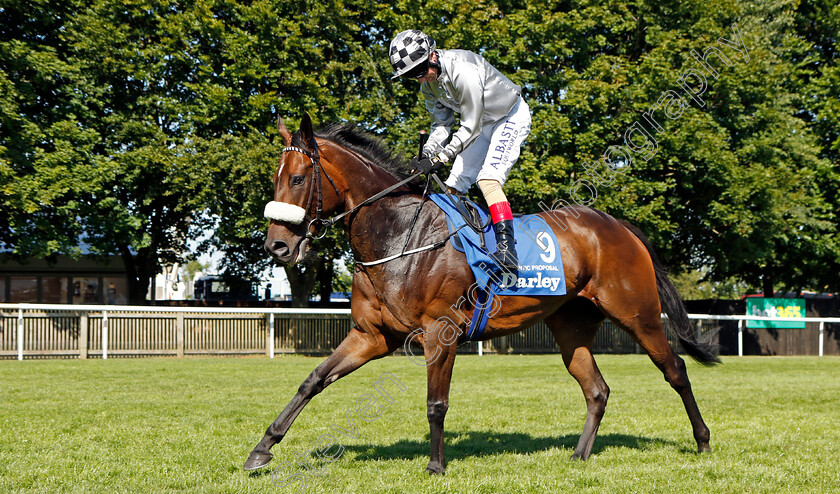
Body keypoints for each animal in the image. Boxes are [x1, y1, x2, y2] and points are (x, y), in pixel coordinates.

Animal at [244, 113, 720, 474]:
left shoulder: (440, 333)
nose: (277, 246)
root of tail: (618, 225)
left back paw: (702, 441)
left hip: (638, 314)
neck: (399, 236)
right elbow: (313, 380)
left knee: (675, 369)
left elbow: (436, 403)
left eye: (299, 178)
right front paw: (262, 449)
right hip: (571, 327)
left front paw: (435, 466)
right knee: (597, 390)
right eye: (275, 179)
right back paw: (579, 455)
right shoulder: (372, 336)